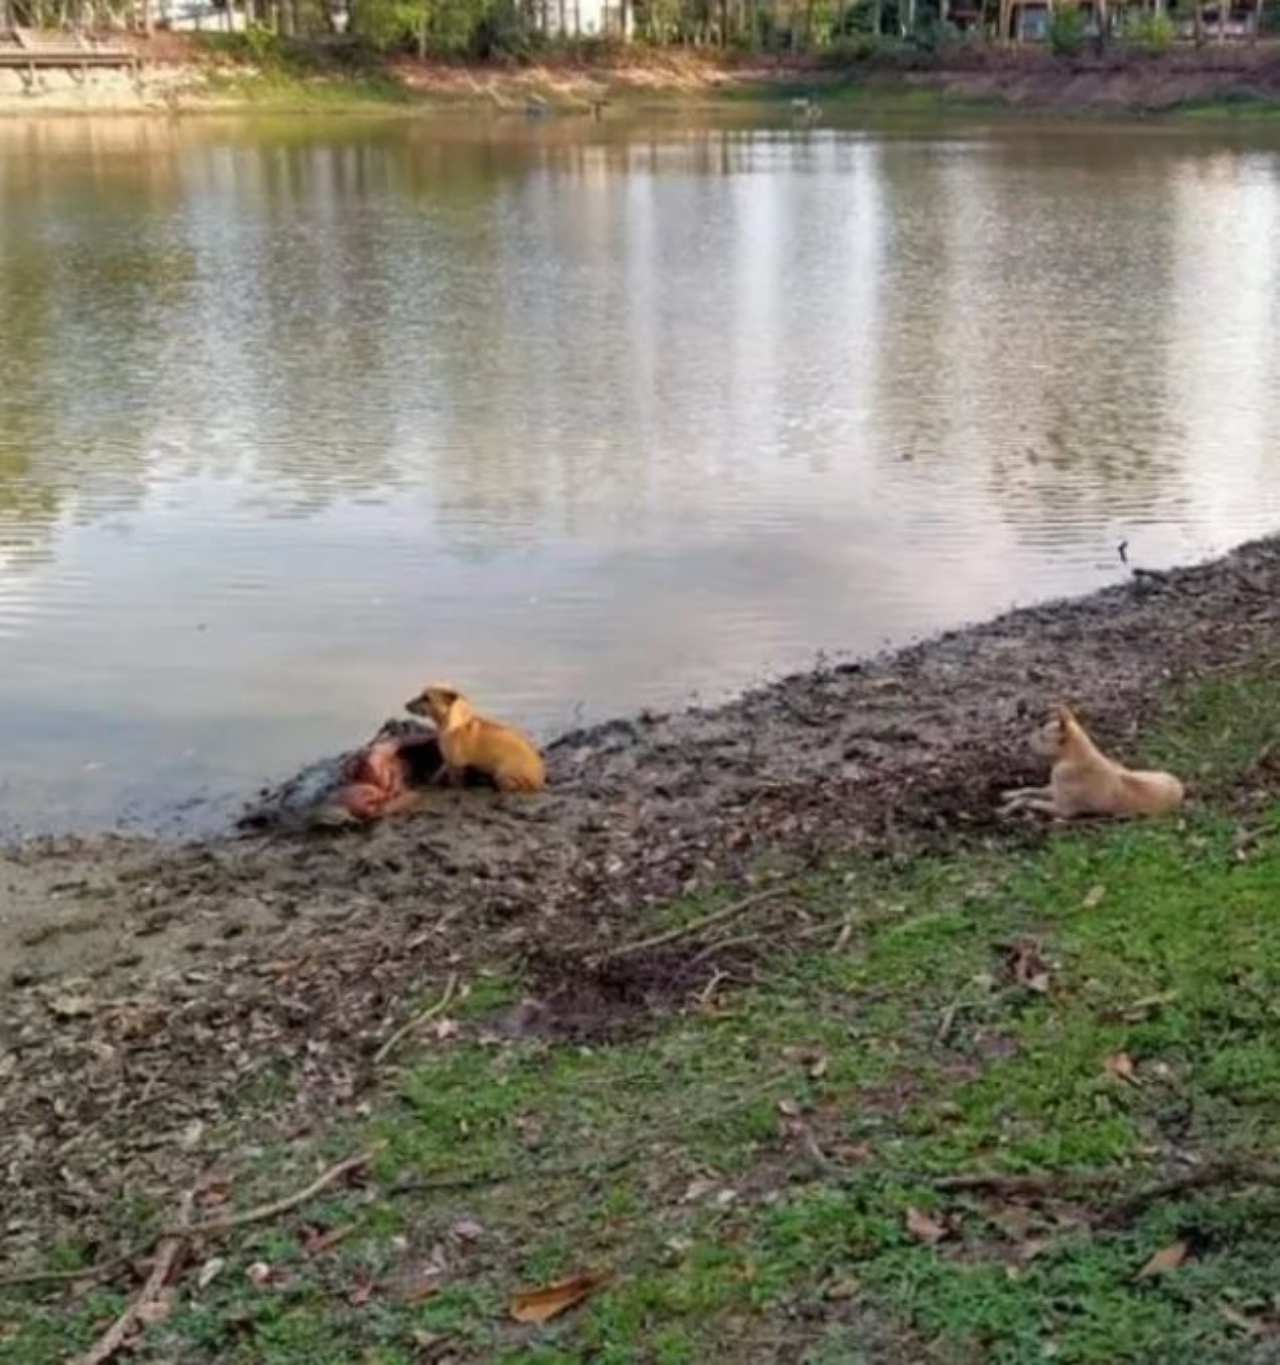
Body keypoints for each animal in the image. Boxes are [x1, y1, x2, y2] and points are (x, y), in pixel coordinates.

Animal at [403, 687, 543, 797]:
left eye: (426, 698)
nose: (406, 704)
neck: (454, 722)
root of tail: (537, 782)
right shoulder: (449, 761)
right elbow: (439, 773)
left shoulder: (456, 763)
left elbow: (455, 782)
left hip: (502, 774)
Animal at [998, 704, 1189, 819]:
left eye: (1043, 737)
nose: (1024, 742)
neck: (1075, 756)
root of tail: (1180, 787)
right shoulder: (1053, 788)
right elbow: (1030, 790)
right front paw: (1010, 795)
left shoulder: (1062, 808)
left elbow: (1029, 801)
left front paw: (1006, 808)